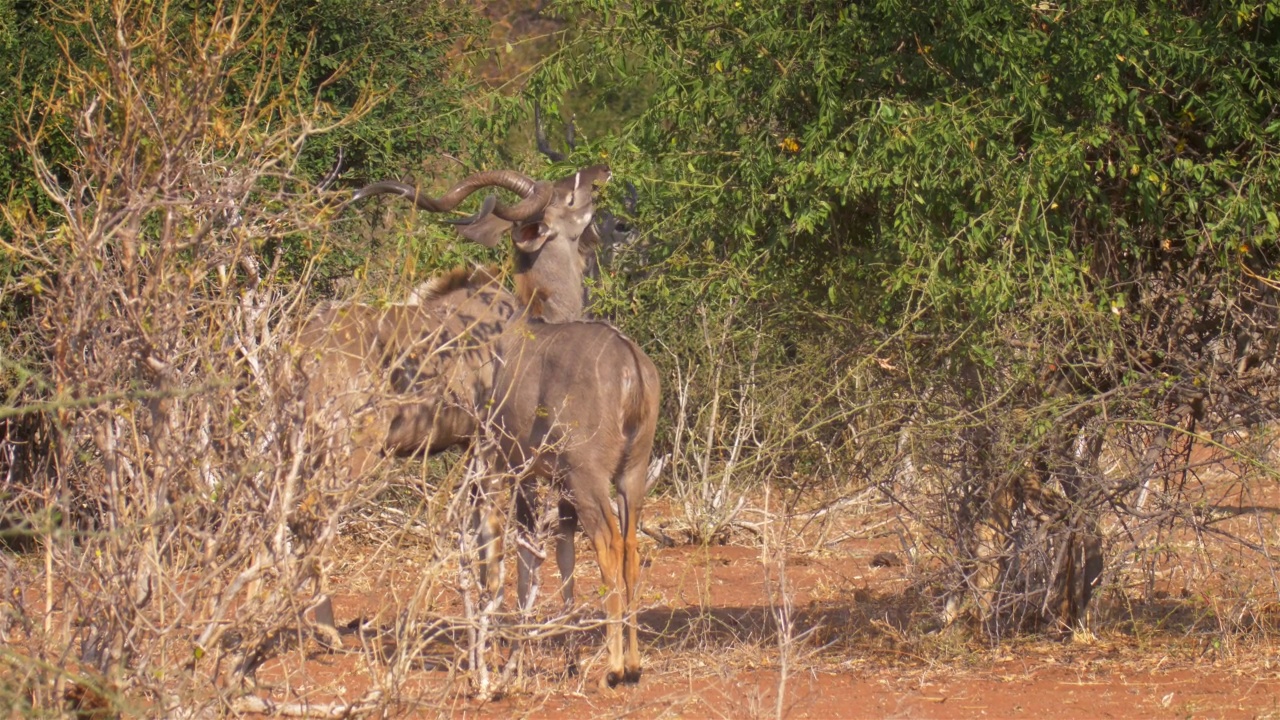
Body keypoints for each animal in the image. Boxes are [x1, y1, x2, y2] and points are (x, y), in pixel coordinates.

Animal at [299, 159, 660, 681]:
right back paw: (325, 631)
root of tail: (299, 347)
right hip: (354, 452)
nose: (601, 171)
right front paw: (500, 644)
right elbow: (501, 549)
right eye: (569, 195)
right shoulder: (492, 456)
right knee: (316, 515)